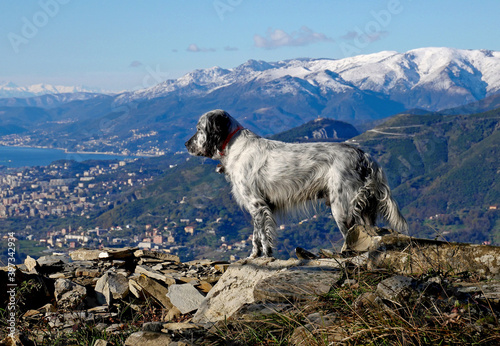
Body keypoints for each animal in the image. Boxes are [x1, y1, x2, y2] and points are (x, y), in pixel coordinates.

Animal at [186, 109, 408, 258]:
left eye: (199, 129)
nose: (186, 144)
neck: (234, 146)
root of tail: (364, 156)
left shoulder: (257, 204)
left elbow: (262, 236)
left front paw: (264, 256)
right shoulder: (256, 206)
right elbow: (256, 235)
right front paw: (255, 256)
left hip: (342, 208)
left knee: (351, 236)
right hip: (365, 208)